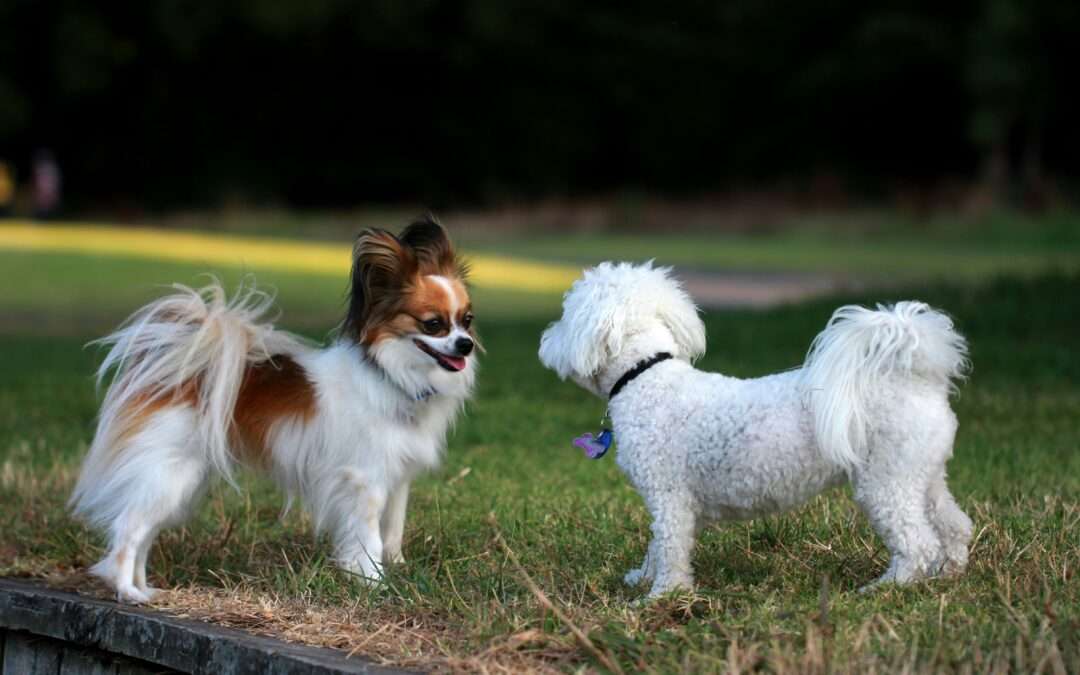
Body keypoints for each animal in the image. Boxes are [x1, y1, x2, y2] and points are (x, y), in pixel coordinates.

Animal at [71, 218, 477, 604]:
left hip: (181, 481)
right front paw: (372, 582)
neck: (392, 375)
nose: (466, 344)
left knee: (143, 532)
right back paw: (128, 592)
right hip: (168, 475)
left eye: (467, 320)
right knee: (128, 531)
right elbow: (368, 537)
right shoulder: (365, 481)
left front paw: (394, 569)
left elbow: (392, 531)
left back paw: (146, 588)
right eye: (433, 324)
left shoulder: (397, 479)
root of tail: (180, 365)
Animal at [540, 260, 972, 596]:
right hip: (922, 475)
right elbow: (657, 547)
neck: (647, 375)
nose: (544, 340)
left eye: (564, 318)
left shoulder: (669, 498)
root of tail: (916, 375)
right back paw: (950, 574)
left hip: (885, 484)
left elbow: (670, 548)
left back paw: (888, 587)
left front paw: (662, 596)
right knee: (954, 527)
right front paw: (641, 578)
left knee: (918, 544)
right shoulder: (678, 504)